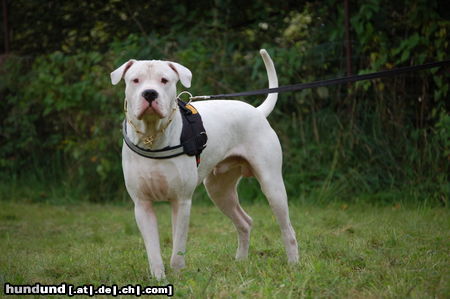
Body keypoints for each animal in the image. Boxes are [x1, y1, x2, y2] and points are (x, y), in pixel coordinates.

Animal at [109, 49, 298, 282]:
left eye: (164, 80)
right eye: (135, 80)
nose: (150, 94)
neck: (152, 137)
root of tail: (257, 111)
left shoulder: (182, 202)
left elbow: (178, 246)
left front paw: (177, 274)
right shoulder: (142, 205)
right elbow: (153, 249)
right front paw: (159, 278)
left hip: (272, 186)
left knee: (287, 229)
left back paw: (293, 264)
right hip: (219, 190)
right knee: (245, 222)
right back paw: (241, 261)